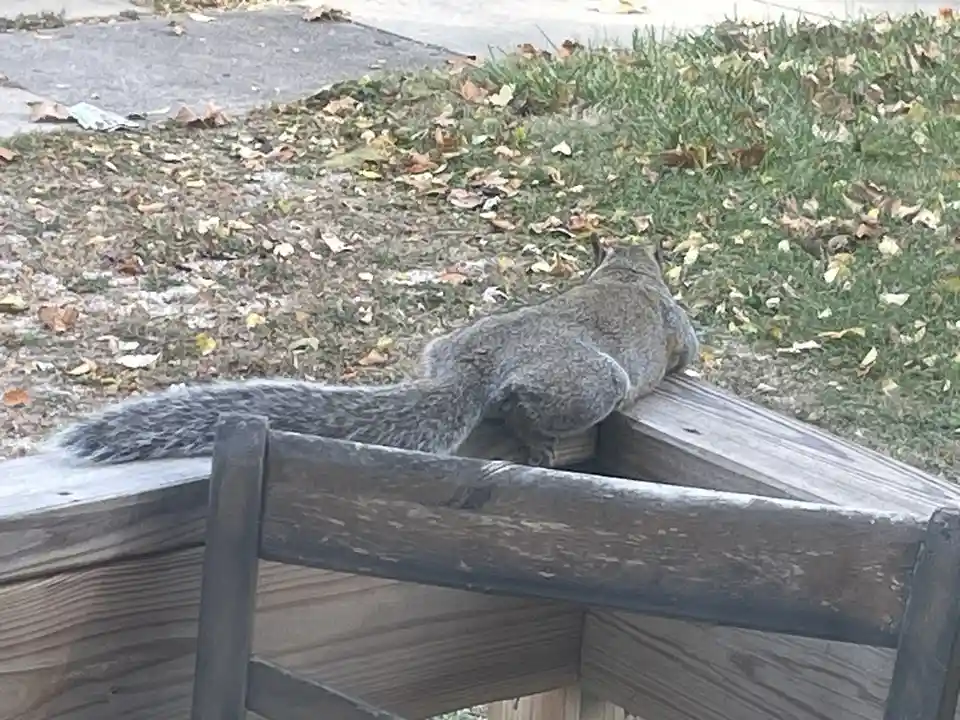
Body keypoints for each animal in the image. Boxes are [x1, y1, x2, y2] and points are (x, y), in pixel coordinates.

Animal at [48, 237, 699, 466]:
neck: (625, 274)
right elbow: (687, 352)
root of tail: (471, 366)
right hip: (593, 382)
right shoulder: (676, 325)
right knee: (522, 409)